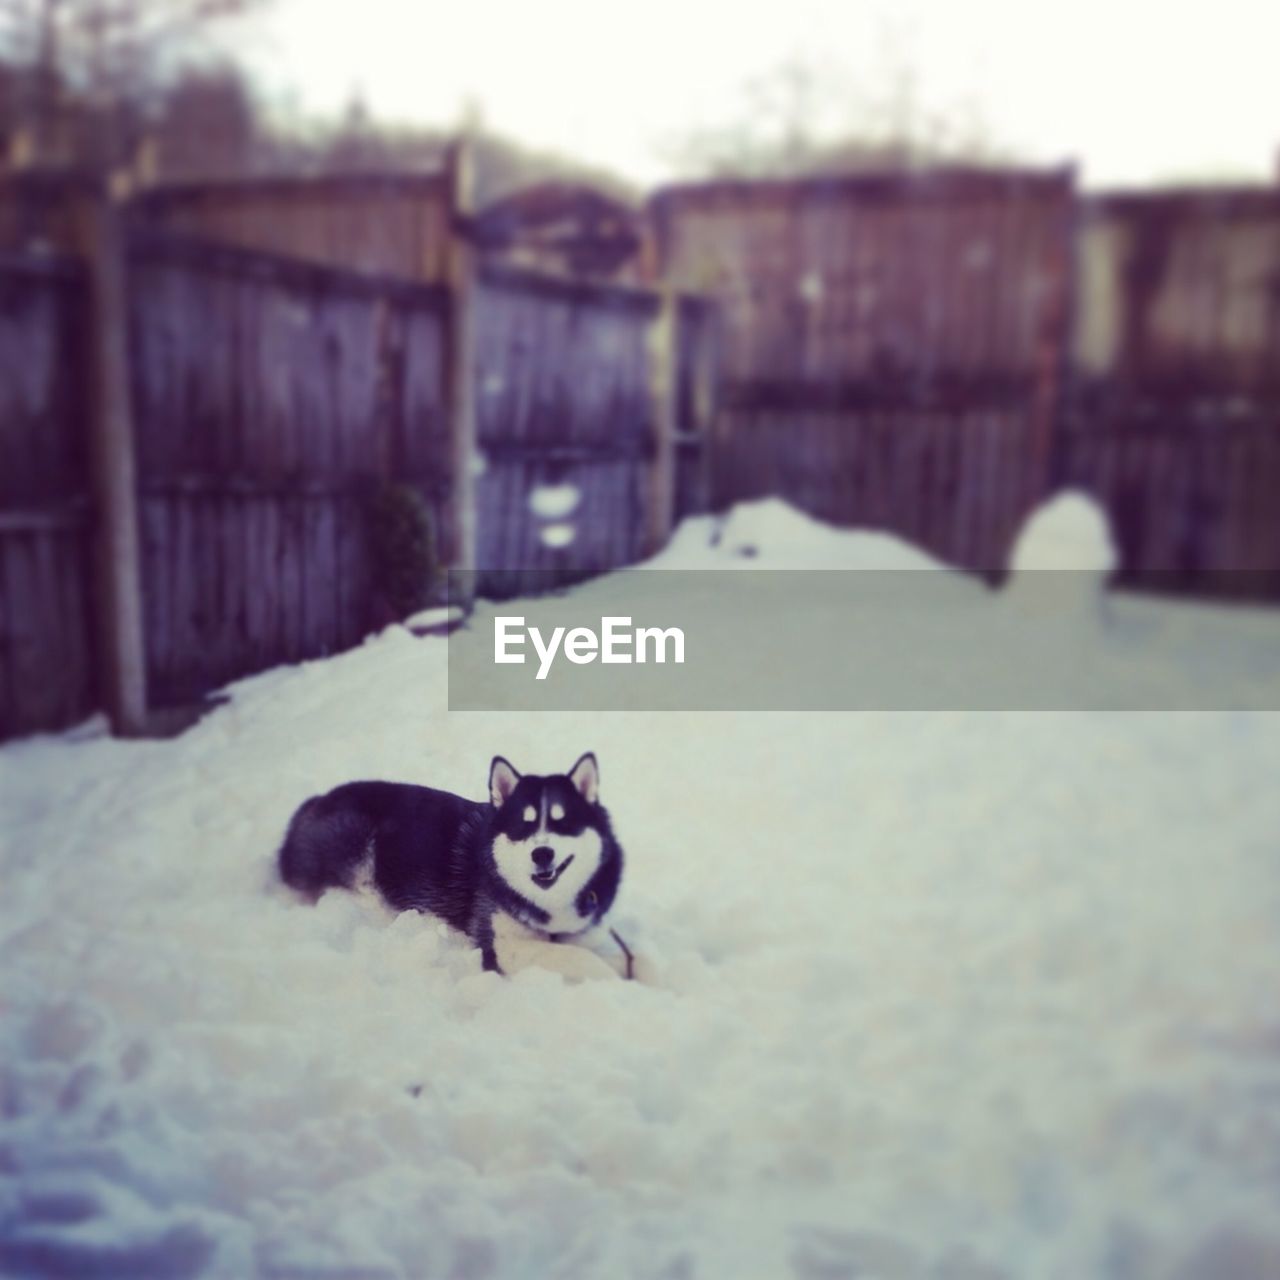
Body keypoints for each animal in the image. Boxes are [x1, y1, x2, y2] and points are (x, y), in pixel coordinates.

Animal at [277, 747, 632, 977]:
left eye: (562, 822)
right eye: (523, 825)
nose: (542, 854)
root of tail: (313, 803)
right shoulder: (503, 946)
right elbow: (583, 960)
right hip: (354, 839)